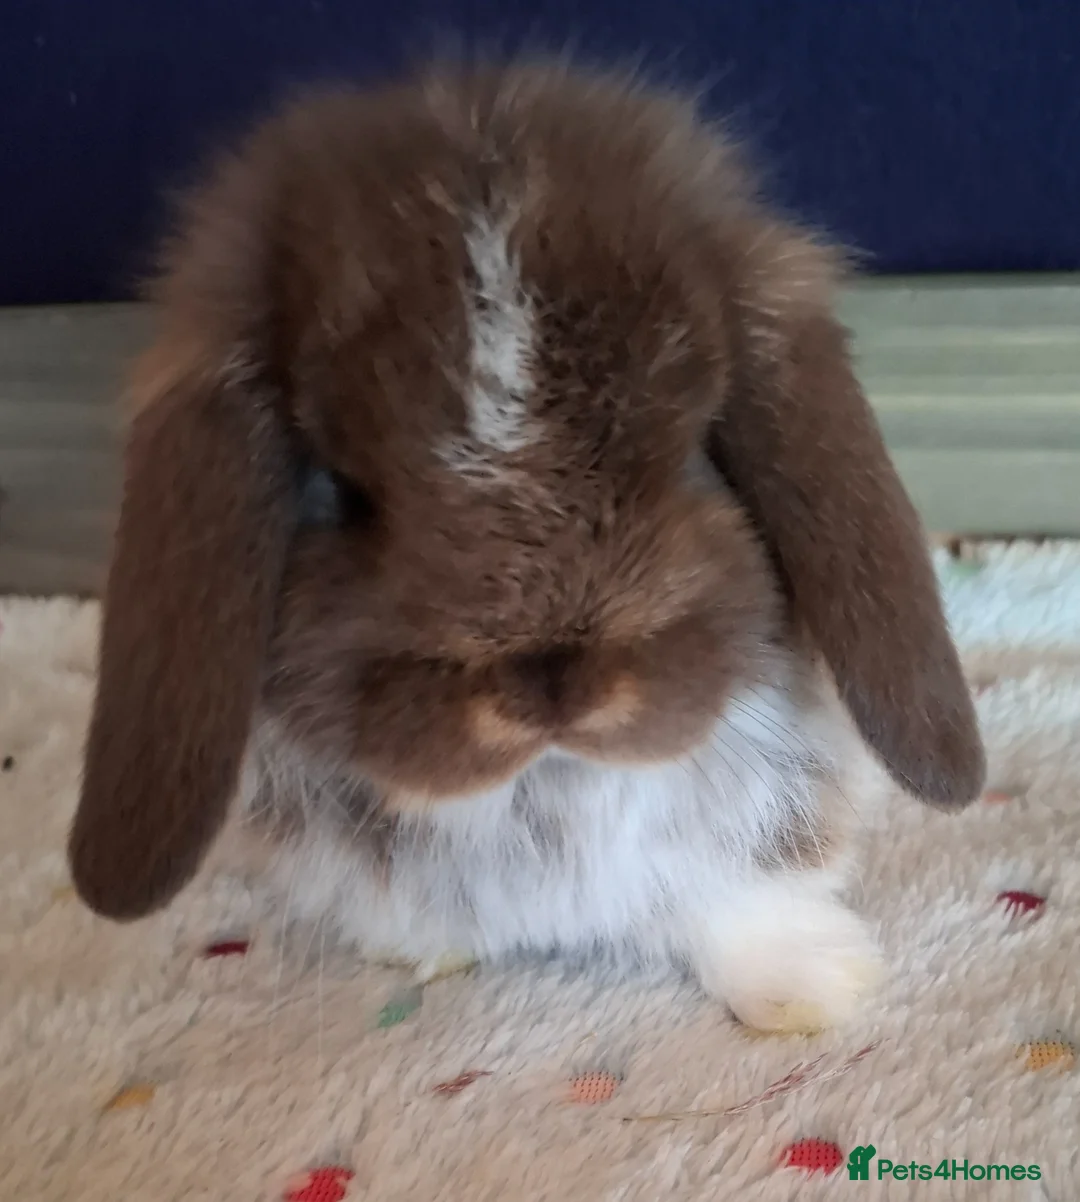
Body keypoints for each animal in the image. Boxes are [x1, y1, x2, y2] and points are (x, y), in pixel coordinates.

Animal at [69, 60, 984, 1032]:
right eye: (343, 491)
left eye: (696, 450)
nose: (553, 684)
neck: (549, 784)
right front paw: (424, 954)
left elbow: (738, 902)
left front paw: (814, 990)